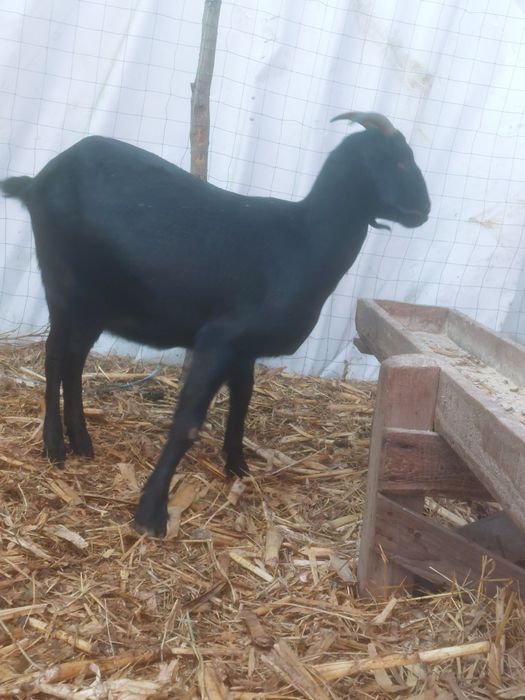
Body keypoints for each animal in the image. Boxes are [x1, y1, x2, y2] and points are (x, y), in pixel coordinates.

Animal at [1, 111, 430, 536]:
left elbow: (241, 402)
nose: (426, 209)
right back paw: (55, 445)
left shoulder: (244, 349)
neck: (304, 240)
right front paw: (150, 513)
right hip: (63, 287)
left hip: (94, 306)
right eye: (401, 162)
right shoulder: (218, 339)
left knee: (73, 362)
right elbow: (188, 422)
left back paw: (81, 441)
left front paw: (237, 465)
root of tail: (36, 181)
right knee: (55, 358)